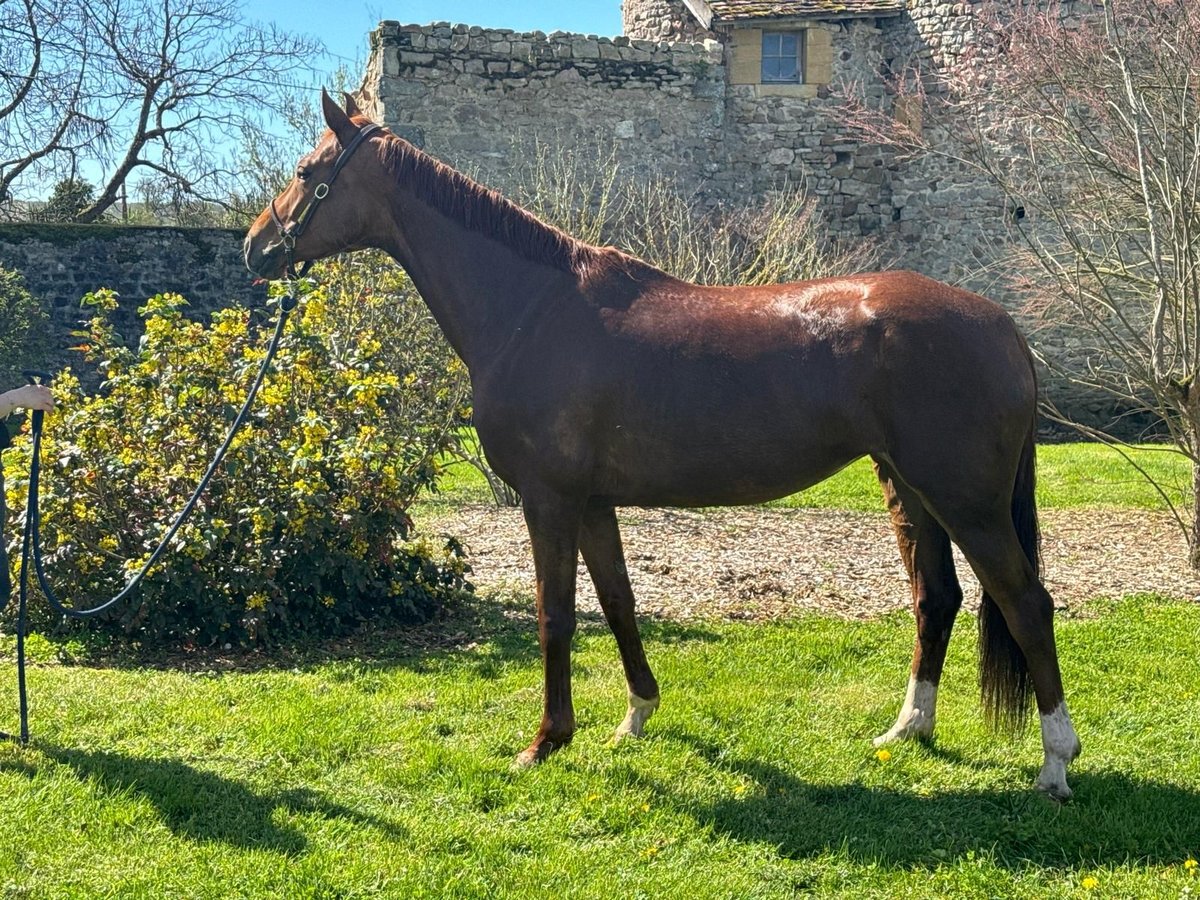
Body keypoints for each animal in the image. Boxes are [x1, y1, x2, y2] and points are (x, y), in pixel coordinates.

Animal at [243, 93, 1080, 801]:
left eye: (308, 173)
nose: (256, 248)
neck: (533, 308)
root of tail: (1003, 325)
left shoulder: (547, 500)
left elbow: (555, 614)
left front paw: (544, 742)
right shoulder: (593, 504)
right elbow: (618, 602)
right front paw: (636, 715)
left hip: (966, 500)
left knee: (1025, 603)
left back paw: (1055, 762)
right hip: (909, 487)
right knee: (937, 598)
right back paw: (907, 729)